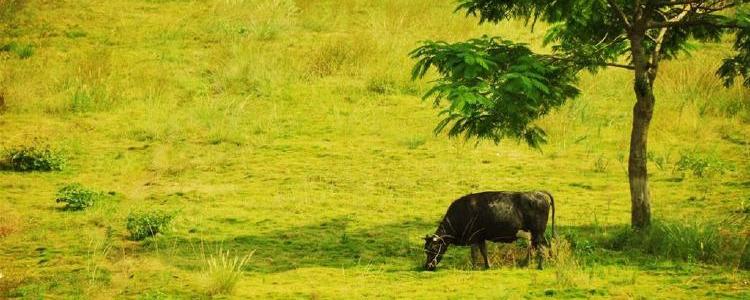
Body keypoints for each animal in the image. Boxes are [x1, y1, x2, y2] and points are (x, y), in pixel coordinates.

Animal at [424, 191, 560, 270]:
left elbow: (474, 253)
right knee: (535, 247)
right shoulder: (481, 237)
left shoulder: (474, 236)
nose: (427, 266)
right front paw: (487, 265)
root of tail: (539, 193)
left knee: (542, 247)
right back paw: (524, 264)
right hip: (535, 233)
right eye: (426, 250)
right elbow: (483, 251)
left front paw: (473, 267)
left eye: (434, 248)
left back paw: (540, 266)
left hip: (537, 232)